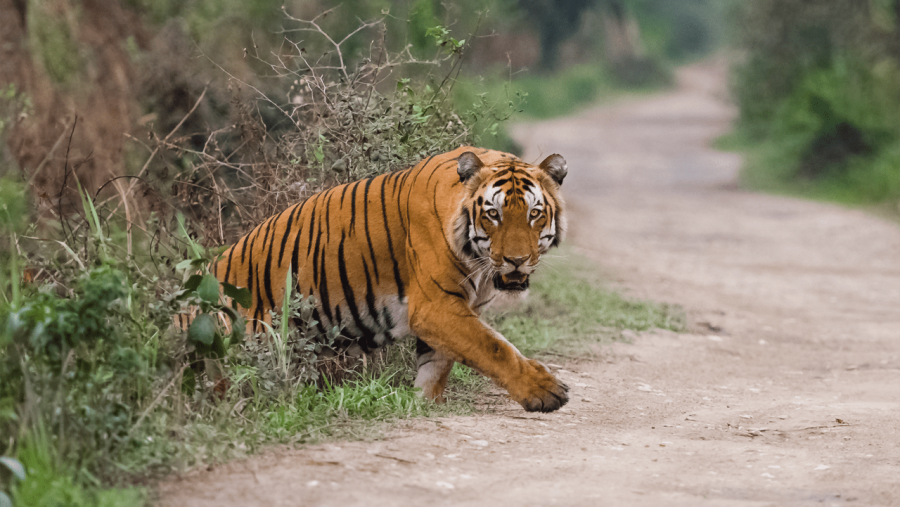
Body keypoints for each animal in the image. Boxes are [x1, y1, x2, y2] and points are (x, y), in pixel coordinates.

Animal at [210, 146, 570, 412]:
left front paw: (424, 404)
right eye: (493, 214)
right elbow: (493, 347)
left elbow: (437, 365)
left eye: (534, 214)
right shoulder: (435, 306)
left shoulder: (452, 310)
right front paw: (544, 390)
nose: (516, 260)